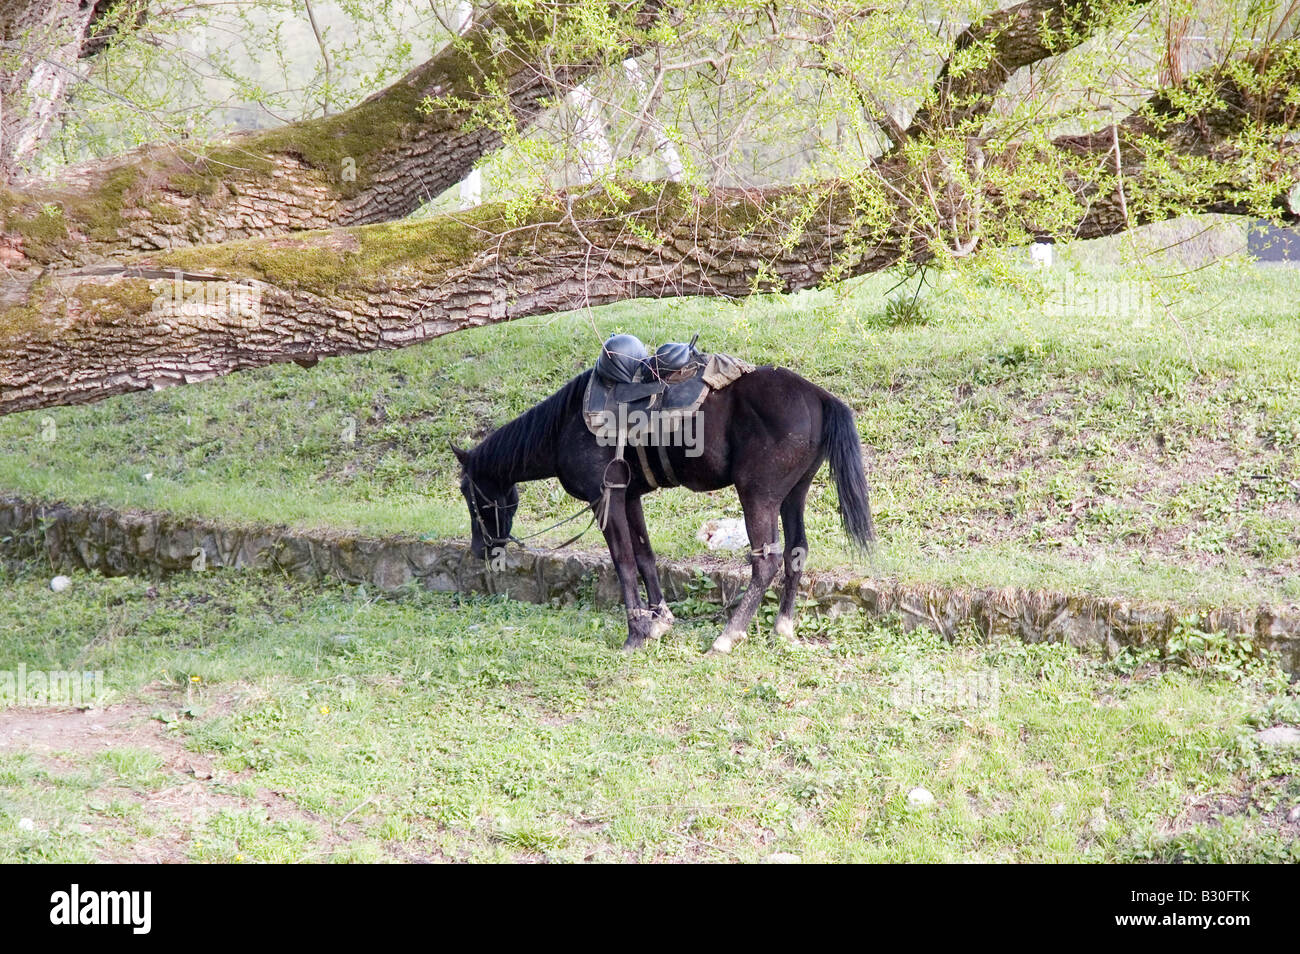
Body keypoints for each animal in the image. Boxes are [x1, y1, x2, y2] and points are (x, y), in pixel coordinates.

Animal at [454, 361, 873, 655]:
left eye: (468, 494)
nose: (478, 551)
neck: (566, 425)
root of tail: (817, 396)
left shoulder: (605, 499)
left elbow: (623, 563)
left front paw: (635, 634)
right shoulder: (630, 497)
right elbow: (645, 557)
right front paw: (659, 620)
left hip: (758, 495)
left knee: (765, 561)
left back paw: (727, 636)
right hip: (793, 494)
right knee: (795, 551)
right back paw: (782, 626)